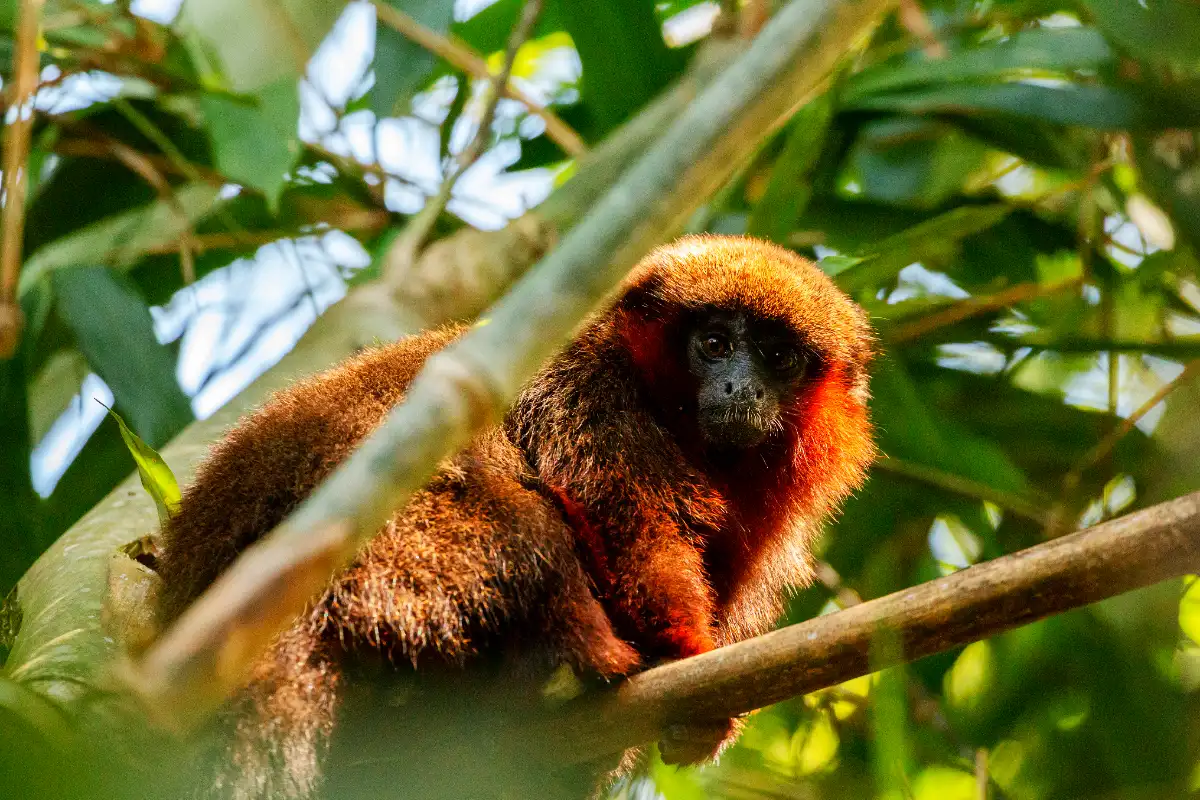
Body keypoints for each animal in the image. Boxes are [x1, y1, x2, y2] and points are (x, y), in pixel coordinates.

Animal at [154, 234, 875, 800]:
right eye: (716, 344)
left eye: (777, 359)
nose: (739, 388)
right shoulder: (587, 396)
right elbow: (630, 528)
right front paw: (686, 654)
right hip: (399, 556)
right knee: (529, 522)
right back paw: (593, 659)